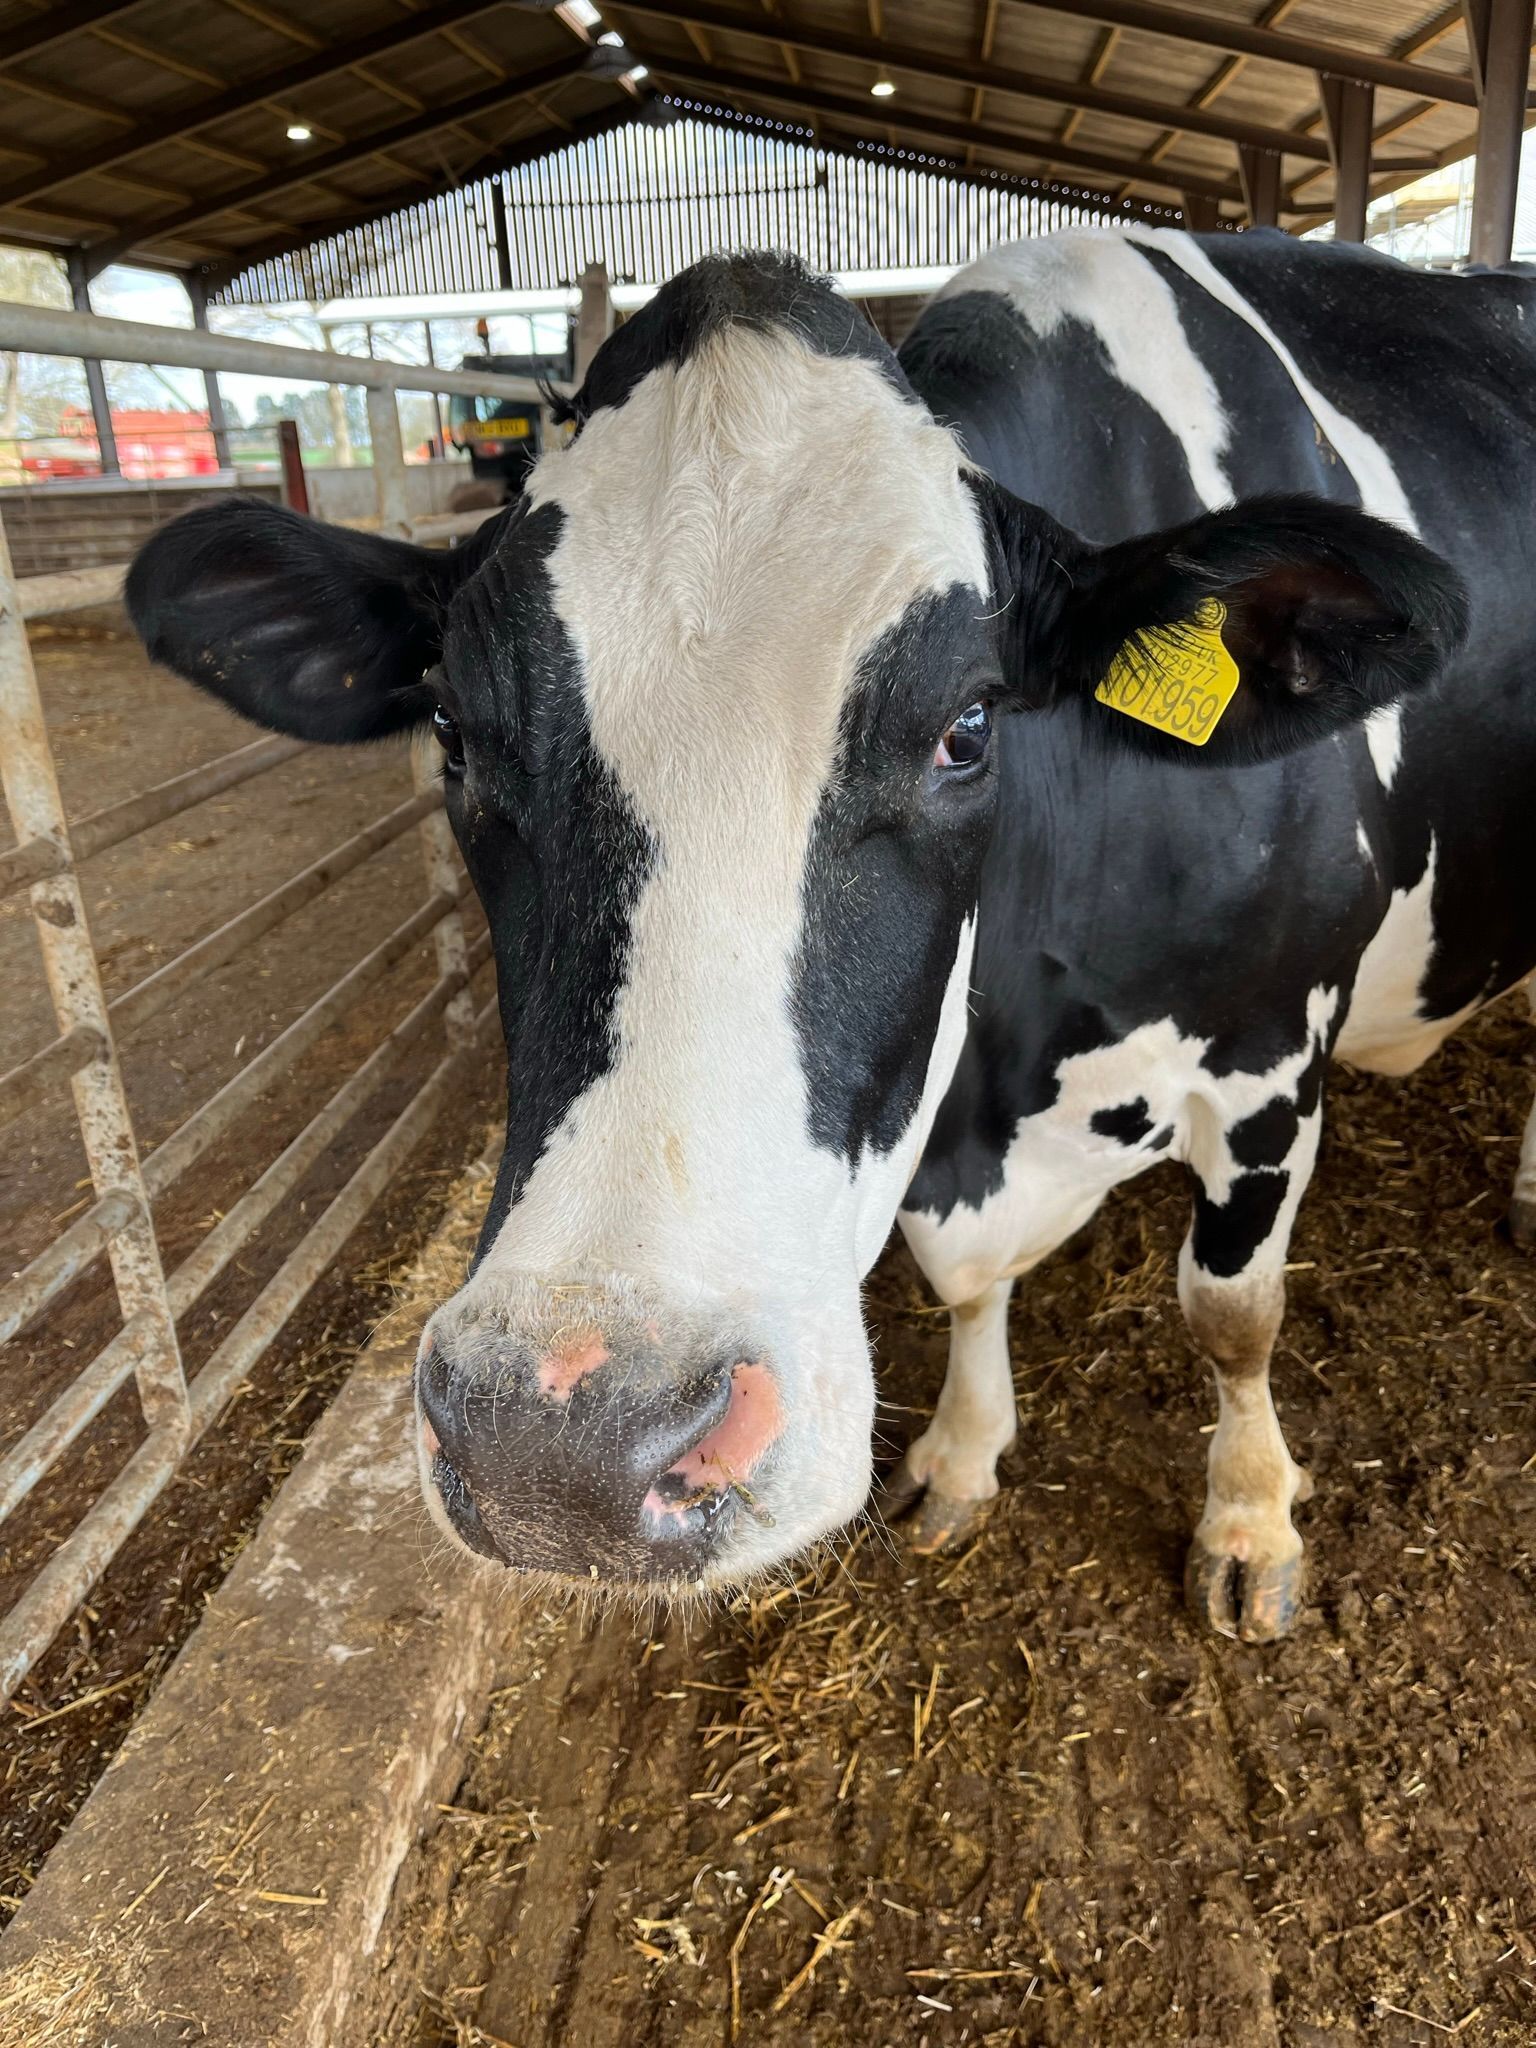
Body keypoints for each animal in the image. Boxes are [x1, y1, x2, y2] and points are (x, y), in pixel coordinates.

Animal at [125, 230, 1513, 1645]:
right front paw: (961, 1454)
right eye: (453, 731)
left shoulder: (1267, 1063)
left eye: (968, 726)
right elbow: (965, 1283)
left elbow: (1231, 1309)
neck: (1007, 1092)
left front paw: (1249, 1517)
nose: (561, 1449)